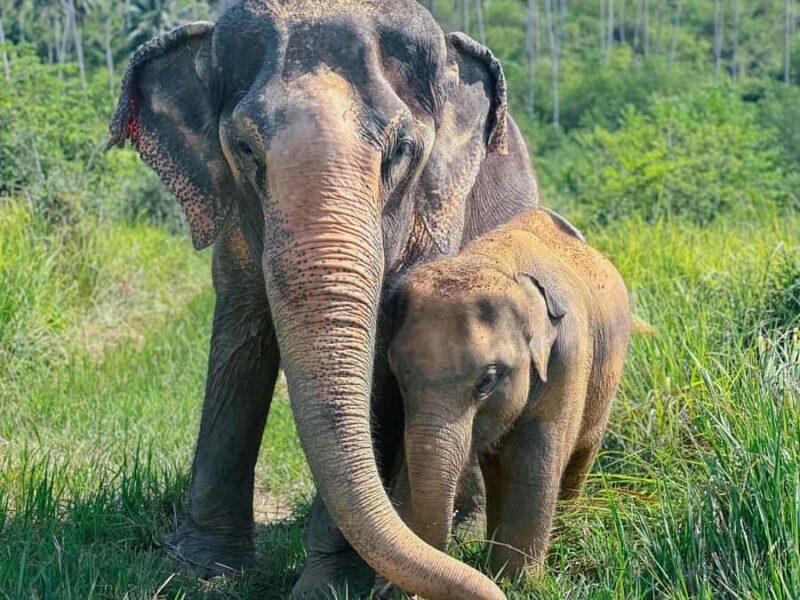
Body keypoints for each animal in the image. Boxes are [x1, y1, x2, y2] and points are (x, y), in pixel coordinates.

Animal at [108, 1, 539, 598]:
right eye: (244, 148)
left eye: (402, 152)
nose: (489, 589)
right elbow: (241, 336)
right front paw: (202, 572)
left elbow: (379, 365)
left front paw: (329, 587)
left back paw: (462, 524)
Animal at [382, 208, 632, 585]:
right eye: (398, 376)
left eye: (487, 381)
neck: (494, 264)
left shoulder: (567, 360)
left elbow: (535, 462)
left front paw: (519, 583)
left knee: (581, 455)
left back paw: (566, 533)